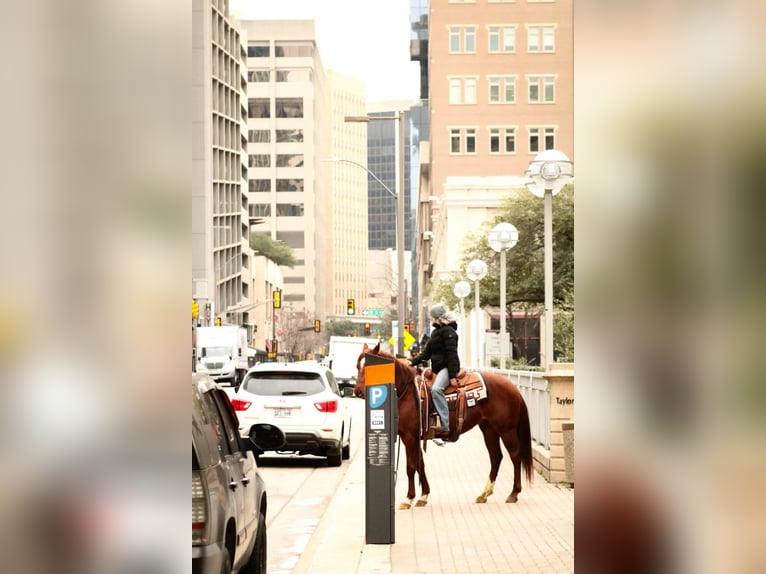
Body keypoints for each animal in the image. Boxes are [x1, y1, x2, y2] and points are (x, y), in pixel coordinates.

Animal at [354, 344, 536, 510]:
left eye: (368, 367)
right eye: (357, 366)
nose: (357, 392)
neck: (407, 392)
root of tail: (513, 388)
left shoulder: (409, 437)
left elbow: (411, 467)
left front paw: (408, 499)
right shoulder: (415, 438)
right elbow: (420, 465)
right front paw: (423, 496)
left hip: (507, 430)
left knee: (515, 456)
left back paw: (513, 493)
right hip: (489, 429)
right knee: (496, 457)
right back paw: (484, 494)